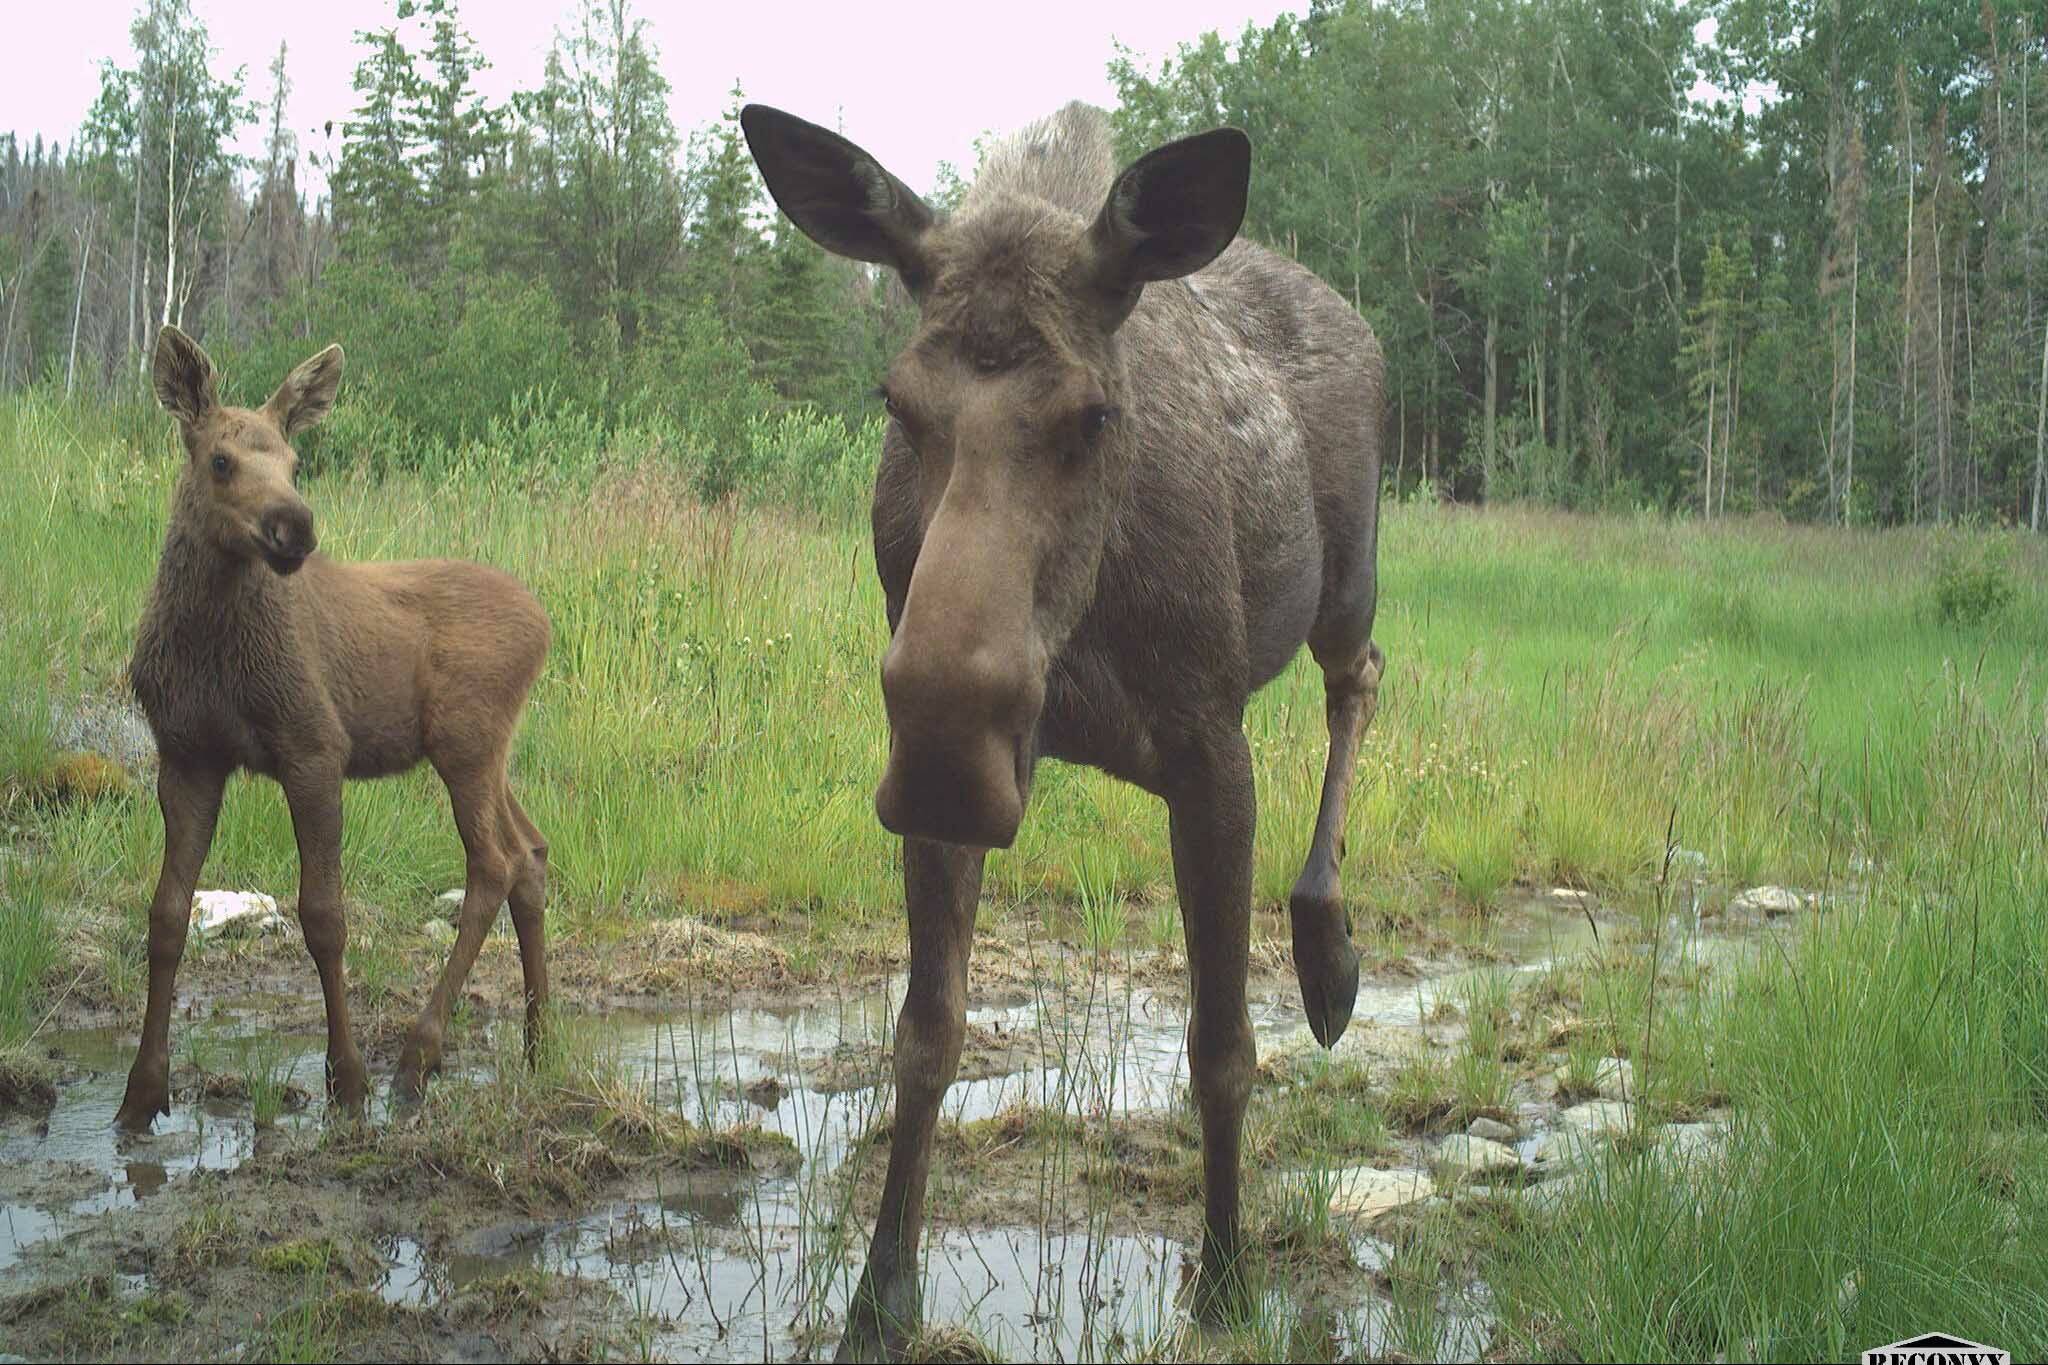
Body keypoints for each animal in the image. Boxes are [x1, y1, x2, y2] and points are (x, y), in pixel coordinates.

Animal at [117, 327, 552, 1129]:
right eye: (220, 459)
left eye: (295, 462)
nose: (296, 525)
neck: (214, 652)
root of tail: (545, 626)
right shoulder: (186, 754)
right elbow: (166, 916)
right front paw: (142, 1092)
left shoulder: (313, 744)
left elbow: (323, 915)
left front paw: (344, 1080)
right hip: (487, 749)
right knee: (531, 853)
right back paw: (539, 1039)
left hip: (466, 740)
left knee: (494, 862)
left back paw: (416, 1056)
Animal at [745, 104, 1384, 1358]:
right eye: (895, 402)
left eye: (1095, 413)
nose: (950, 758)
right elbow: (925, 1032)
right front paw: (877, 1296)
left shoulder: (1212, 747)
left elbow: (1221, 1046)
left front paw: (1226, 1279)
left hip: (1346, 583)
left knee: (1359, 678)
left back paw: (1327, 951)